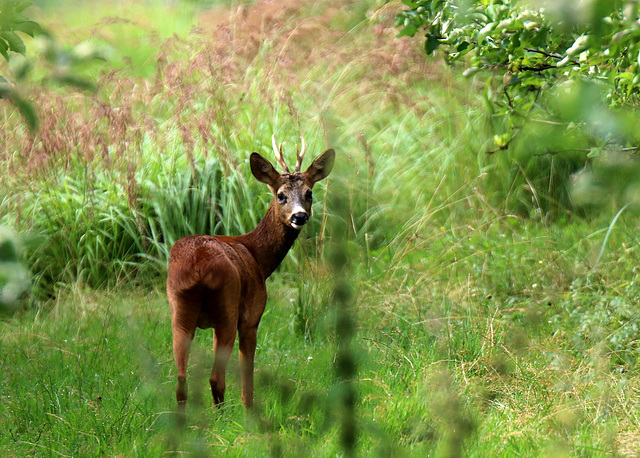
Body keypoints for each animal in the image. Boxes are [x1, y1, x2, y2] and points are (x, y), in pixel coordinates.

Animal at [165, 135, 336, 412]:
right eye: (280, 195)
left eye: (309, 193)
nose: (299, 216)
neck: (257, 257)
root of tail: (198, 267)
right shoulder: (251, 316)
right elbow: (248, 376)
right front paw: (250, 412)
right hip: (227, 309)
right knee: (216, 378)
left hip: (180, 310)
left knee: (181, 381)